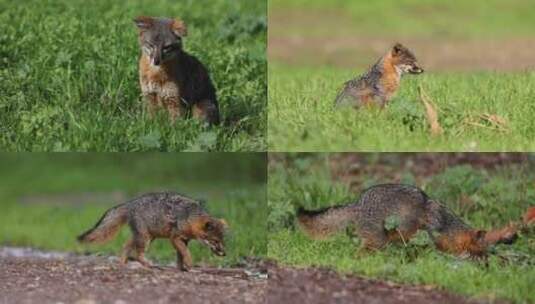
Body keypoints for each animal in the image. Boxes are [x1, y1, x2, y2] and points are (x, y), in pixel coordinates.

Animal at [77, 192, 228, 270]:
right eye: (215, 241)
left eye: (223, 241)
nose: (224, 254)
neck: (190, 216)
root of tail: (130, 203)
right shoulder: (175, 238)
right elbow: (185, 253)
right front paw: (189, 264)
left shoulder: (184, 240)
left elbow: (181, 255)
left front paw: (181, 268)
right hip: (145, 238)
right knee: (137, 254)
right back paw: (147, 264)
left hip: (145, 236)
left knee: (126, 245)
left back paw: (122, 264)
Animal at [298, 184, 520, 258]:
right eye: (482, 252)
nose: (487, 262)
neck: (448, 224)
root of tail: (358, 204)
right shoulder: (430, 233)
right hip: (378, 240)